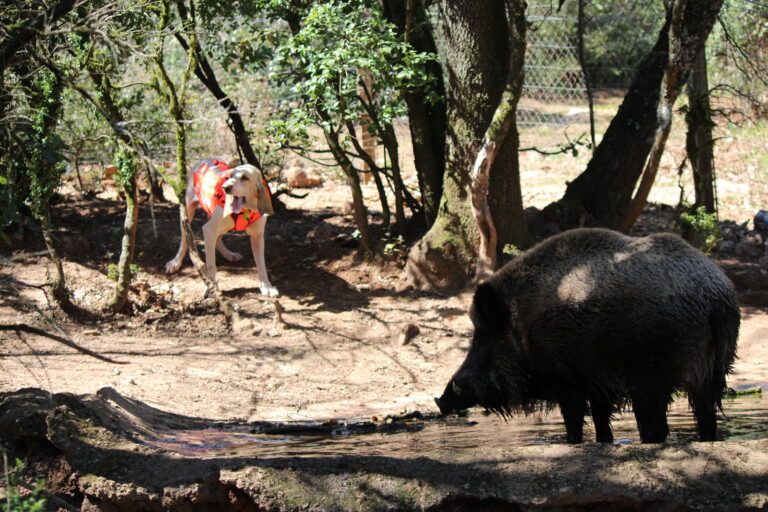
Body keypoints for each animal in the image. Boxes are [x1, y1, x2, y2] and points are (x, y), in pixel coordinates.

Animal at [165, 159, 280, 296]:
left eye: (245, 178)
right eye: (230, 176)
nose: (226, 188)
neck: (246, 209)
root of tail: (203, 160)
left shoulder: (257, 237)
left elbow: (261, 264)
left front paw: (266, 286)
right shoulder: (208, 230)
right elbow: (211, 265)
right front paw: (212, 289)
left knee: (218, 239)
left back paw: (229, 254)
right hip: (188, 211)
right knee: (184, 240)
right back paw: (175, 262)